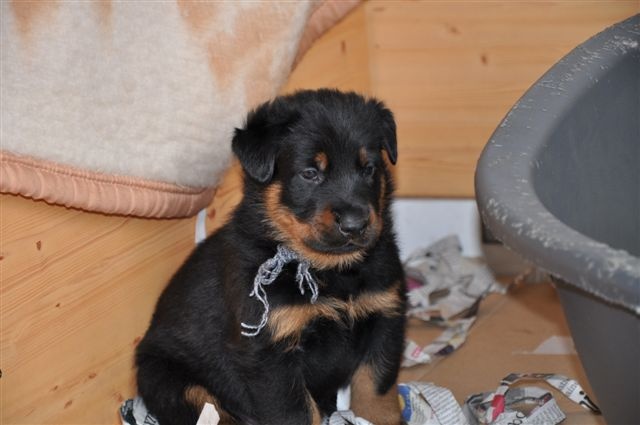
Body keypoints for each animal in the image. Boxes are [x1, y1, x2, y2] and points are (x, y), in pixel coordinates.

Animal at [135, 89, 407, 425]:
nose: (355, 224)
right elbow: (295, 413)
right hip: (169, 377)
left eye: (369, 169)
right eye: (310, 173)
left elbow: (376, 391)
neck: (330, 272)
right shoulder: (270, 352)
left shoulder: (386, 317)